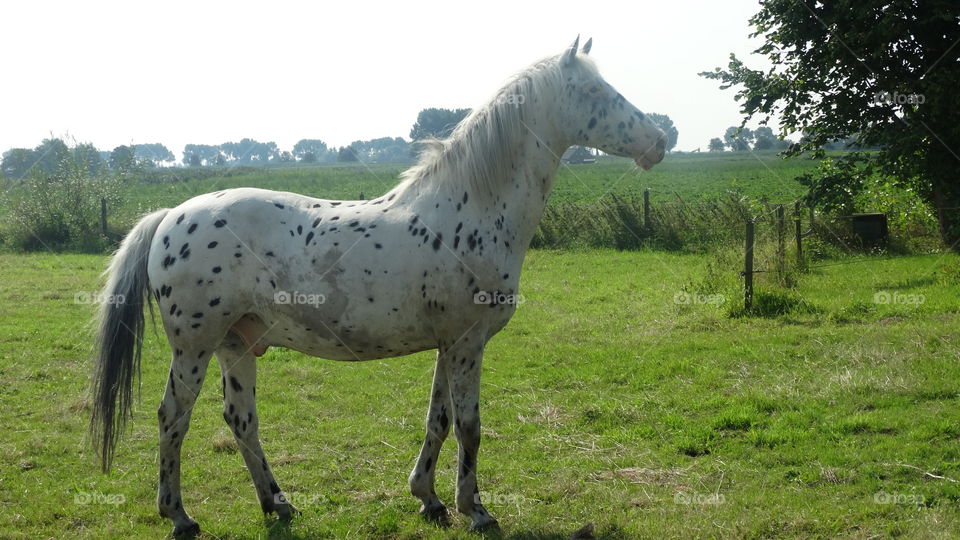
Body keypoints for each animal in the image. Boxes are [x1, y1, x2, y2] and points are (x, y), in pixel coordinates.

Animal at [89, 37, 666, 535]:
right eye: (595, 92)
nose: (660, 141)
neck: (471, 208)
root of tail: (169, 216)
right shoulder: (467, 343)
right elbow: (470, 425)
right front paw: (476, 510)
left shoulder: (448, 346)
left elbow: (438, 420)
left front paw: (429, 499)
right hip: (195, 346)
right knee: (173, 417)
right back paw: (179, 516)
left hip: (238, 343)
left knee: (241, 421)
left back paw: (278, 503)